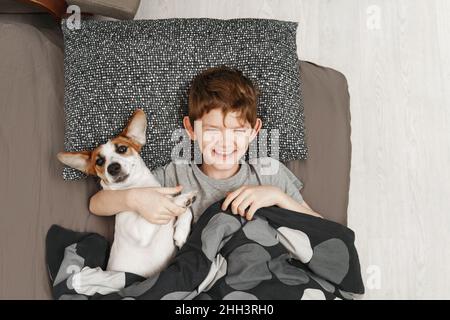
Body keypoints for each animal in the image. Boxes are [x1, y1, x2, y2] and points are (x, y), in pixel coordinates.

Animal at [56, 109, 197, 278]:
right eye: (99, 161)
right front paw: (183, 199)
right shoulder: (142, 232)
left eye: (122, 149)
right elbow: (166, 200)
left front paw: (181, 233)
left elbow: (186, 210)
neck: (140, 188)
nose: (113, 167)